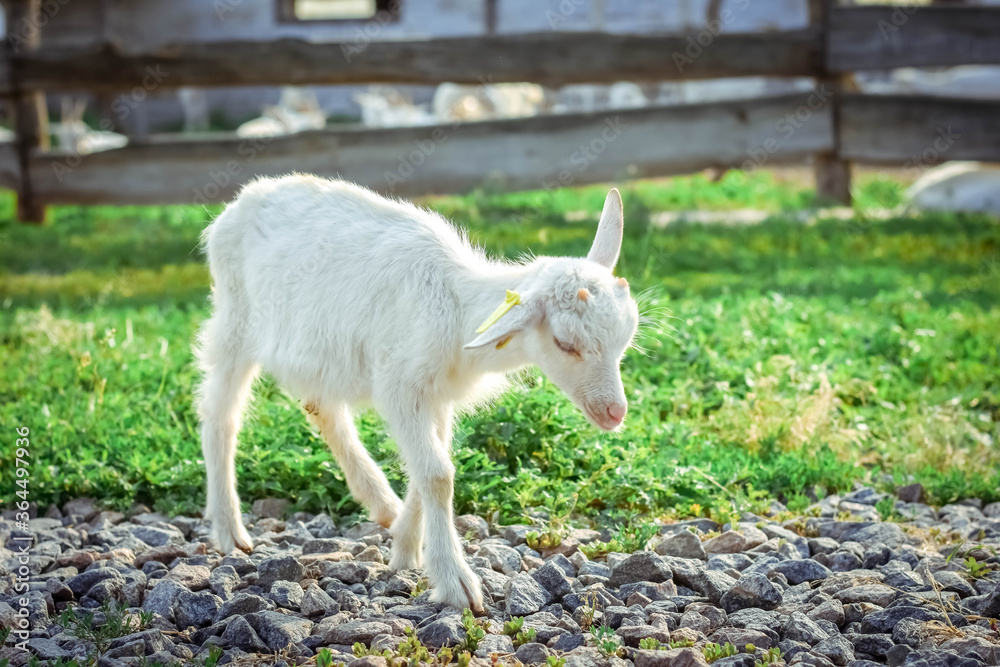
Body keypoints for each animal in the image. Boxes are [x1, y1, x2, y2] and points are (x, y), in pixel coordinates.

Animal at [197, 176, 638, 611]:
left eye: (625, 337)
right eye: (565, 343)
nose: (615, 412)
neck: (456, 307)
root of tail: (242, 200)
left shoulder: (437, 393)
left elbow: (429, 466)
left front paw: (406, 548)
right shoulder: (400, 386)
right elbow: (439, 474)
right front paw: (456, 582)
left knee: (320, 407)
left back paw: (382, 505)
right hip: (235, 321)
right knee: (220, 413)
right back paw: (230, 530)